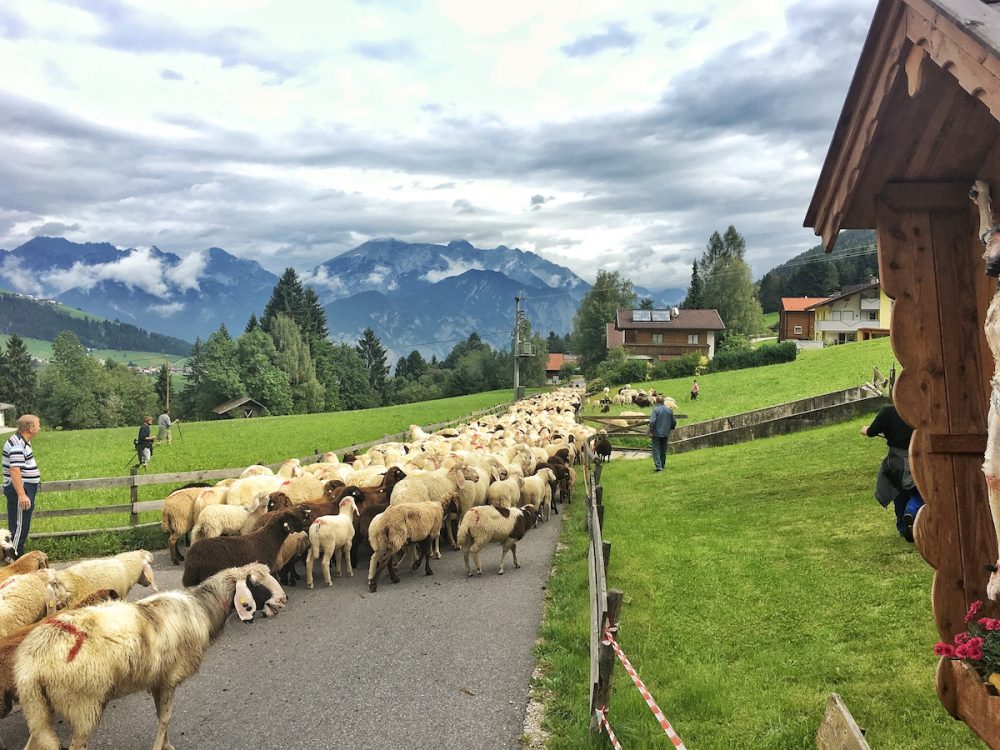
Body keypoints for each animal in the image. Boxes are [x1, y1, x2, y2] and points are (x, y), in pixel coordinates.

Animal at [14, 564, 286, 750]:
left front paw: (167, 745)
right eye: (255, 584)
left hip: (40, 709)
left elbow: (161, 717)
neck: (202, 609)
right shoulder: (170, 678)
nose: (283, 600)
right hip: (83, 706)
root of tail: (31, 665)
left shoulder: (158, 680)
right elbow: (165, 719)